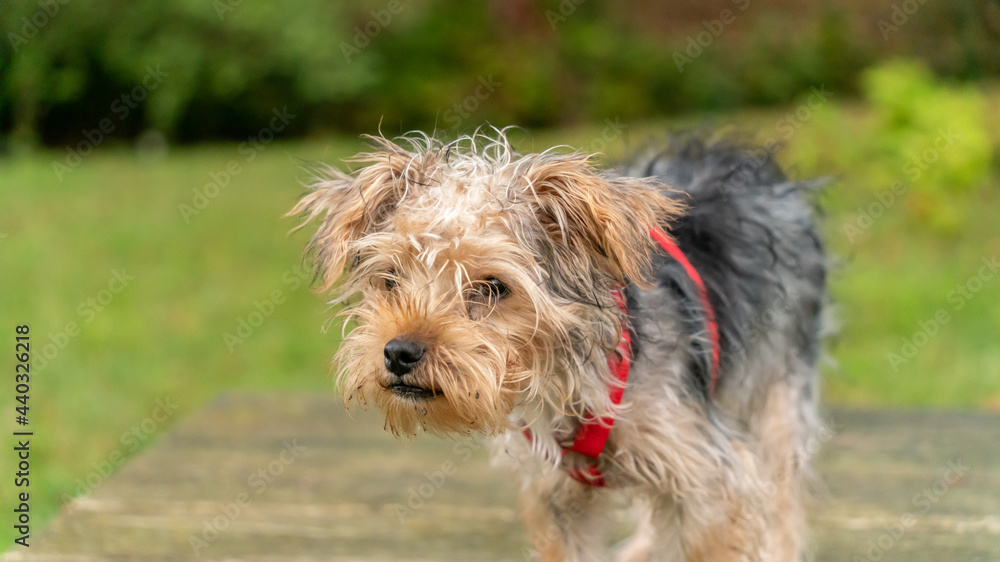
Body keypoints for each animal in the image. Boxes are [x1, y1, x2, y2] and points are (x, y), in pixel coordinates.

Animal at [288, 129, 828, 556]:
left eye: (492, 287)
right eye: (391, 278)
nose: (399, 353)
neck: (566, 381)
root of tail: (735, 155)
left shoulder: (711, 480)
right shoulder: (553, 497)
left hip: (778, 393)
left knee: (783, 497)